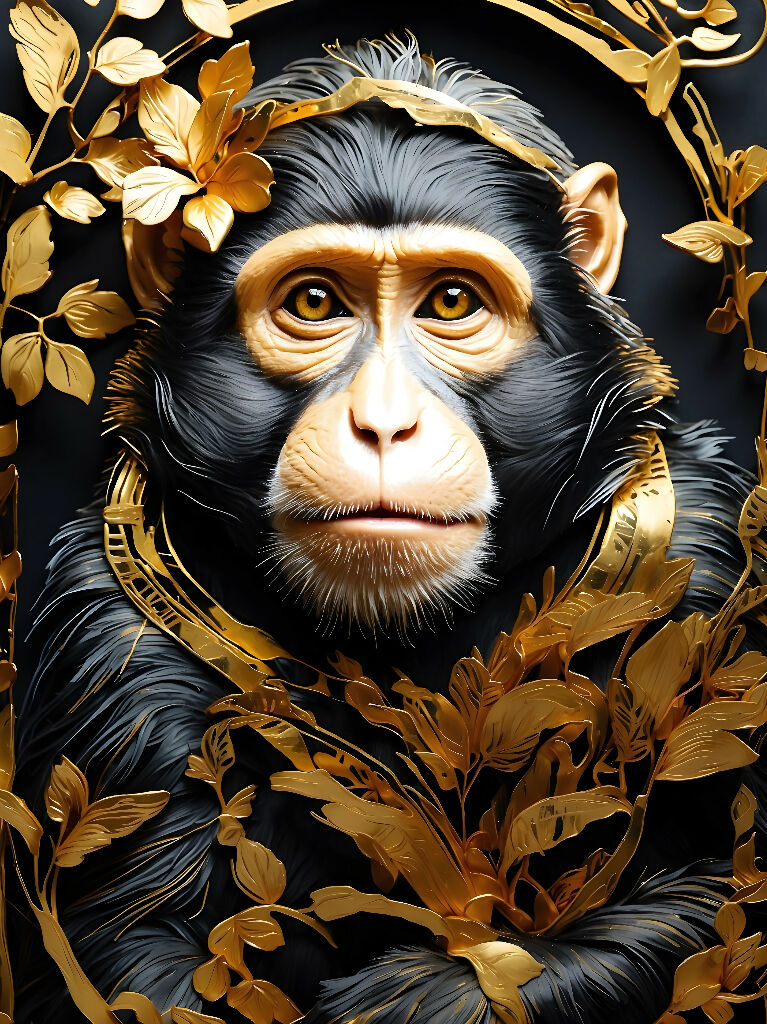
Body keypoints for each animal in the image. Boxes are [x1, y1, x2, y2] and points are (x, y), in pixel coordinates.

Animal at [11, 33, 766, 1024]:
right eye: (314, 302)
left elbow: (716, 892)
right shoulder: (110, 633)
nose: (381, 420)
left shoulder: (700, 560)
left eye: (449, 303)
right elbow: (132, 949)